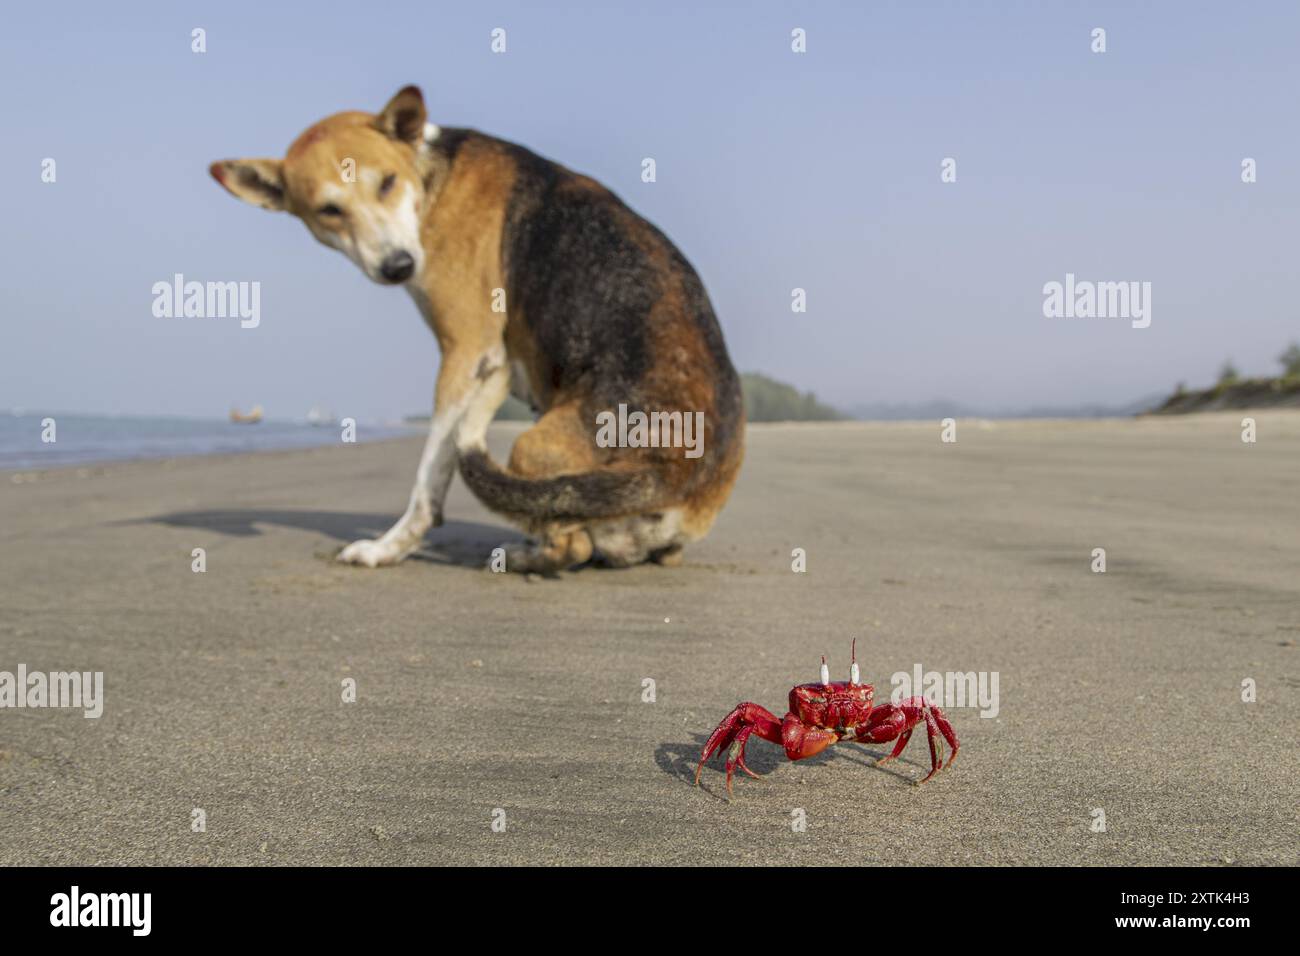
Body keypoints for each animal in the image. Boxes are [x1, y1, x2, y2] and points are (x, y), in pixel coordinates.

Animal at [209, 85, 748, 572]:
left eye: (386, 183)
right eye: (329, 211)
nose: (398, 266)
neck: (428, 179)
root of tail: (678, 478)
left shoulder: (465, 353)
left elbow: (428, 480)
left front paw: (387, 548)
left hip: (530, 445)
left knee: (570, 545)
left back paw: (522, 557)